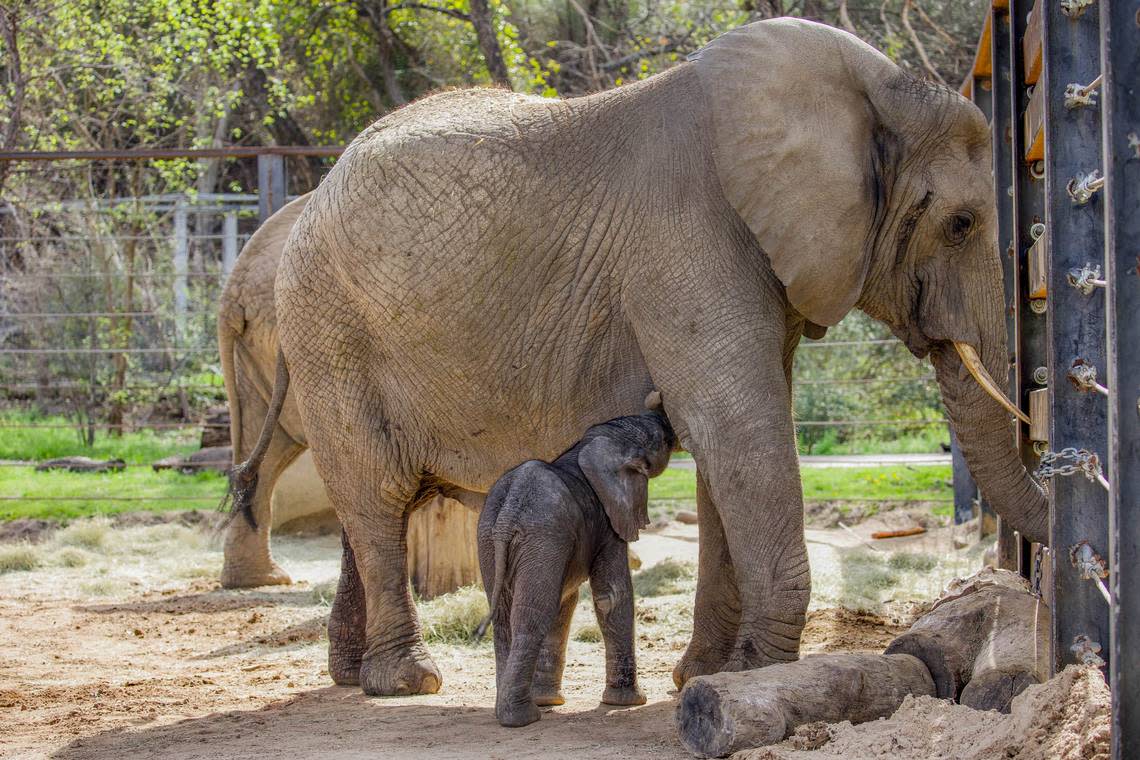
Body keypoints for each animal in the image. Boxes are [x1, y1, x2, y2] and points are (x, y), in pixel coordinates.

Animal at [474, 398, 670, 724]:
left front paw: (549, 700)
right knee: (531, 613)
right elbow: (612, 595)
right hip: (543, 533)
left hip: (490, 537)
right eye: (661, 440)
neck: (595, 442)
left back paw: (510, 709)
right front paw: (629, 702)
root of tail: (510, 507)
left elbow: (566, 601)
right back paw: (522, 718)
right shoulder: (608, 520)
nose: (662, 412)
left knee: (503, 614)